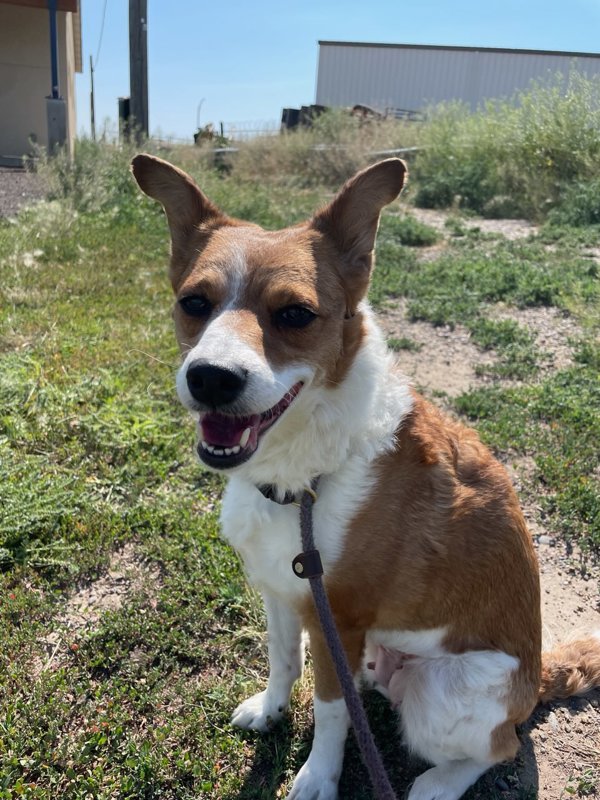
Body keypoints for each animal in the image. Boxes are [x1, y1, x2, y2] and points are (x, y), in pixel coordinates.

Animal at [131, 156, 600, 800]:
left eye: (295, 315)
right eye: (194, 303)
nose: (211, 378)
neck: (308, 474)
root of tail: (535, 680)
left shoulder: (341, 619)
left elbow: (331, 710)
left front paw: (317, 778)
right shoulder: (283, 594)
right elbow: (284, 662)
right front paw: (272, 712)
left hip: (443, 694)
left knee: (500, 744)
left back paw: (437, 784)